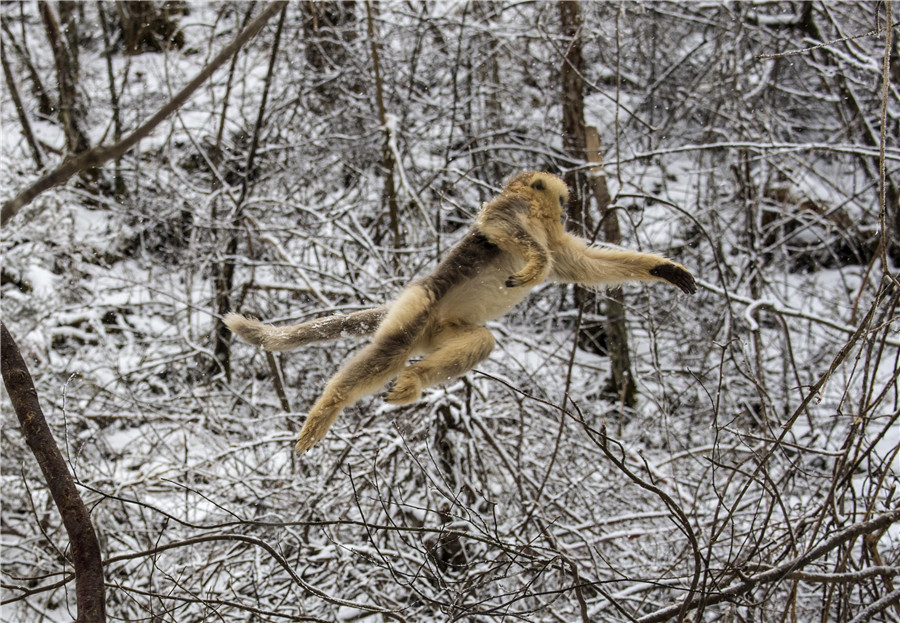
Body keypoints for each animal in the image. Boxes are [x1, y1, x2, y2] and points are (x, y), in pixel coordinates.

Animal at [225, 171, 696, 454]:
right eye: (558, 200)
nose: (565, 209)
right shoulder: (512, 211)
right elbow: (498, 226)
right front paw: (533, 264)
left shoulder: (558, 242)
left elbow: (585, 266)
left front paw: (665, 269)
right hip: (418, 305)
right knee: (389, 352)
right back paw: (329, 408)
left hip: (443, 330)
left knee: (479, 342)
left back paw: (414, 380)